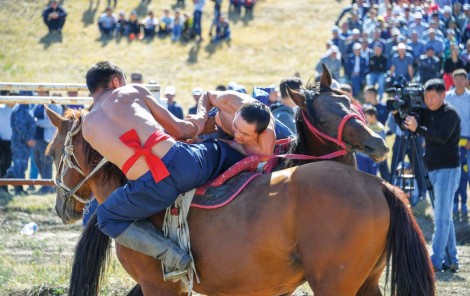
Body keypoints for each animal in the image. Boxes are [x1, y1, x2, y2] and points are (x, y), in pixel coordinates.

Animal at [46, 70, 432, 294]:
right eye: (326, 112)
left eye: (50, 152)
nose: (63, 207)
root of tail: (378, 185)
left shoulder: (157, 285)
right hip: (365, 283)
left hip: (335, 284)